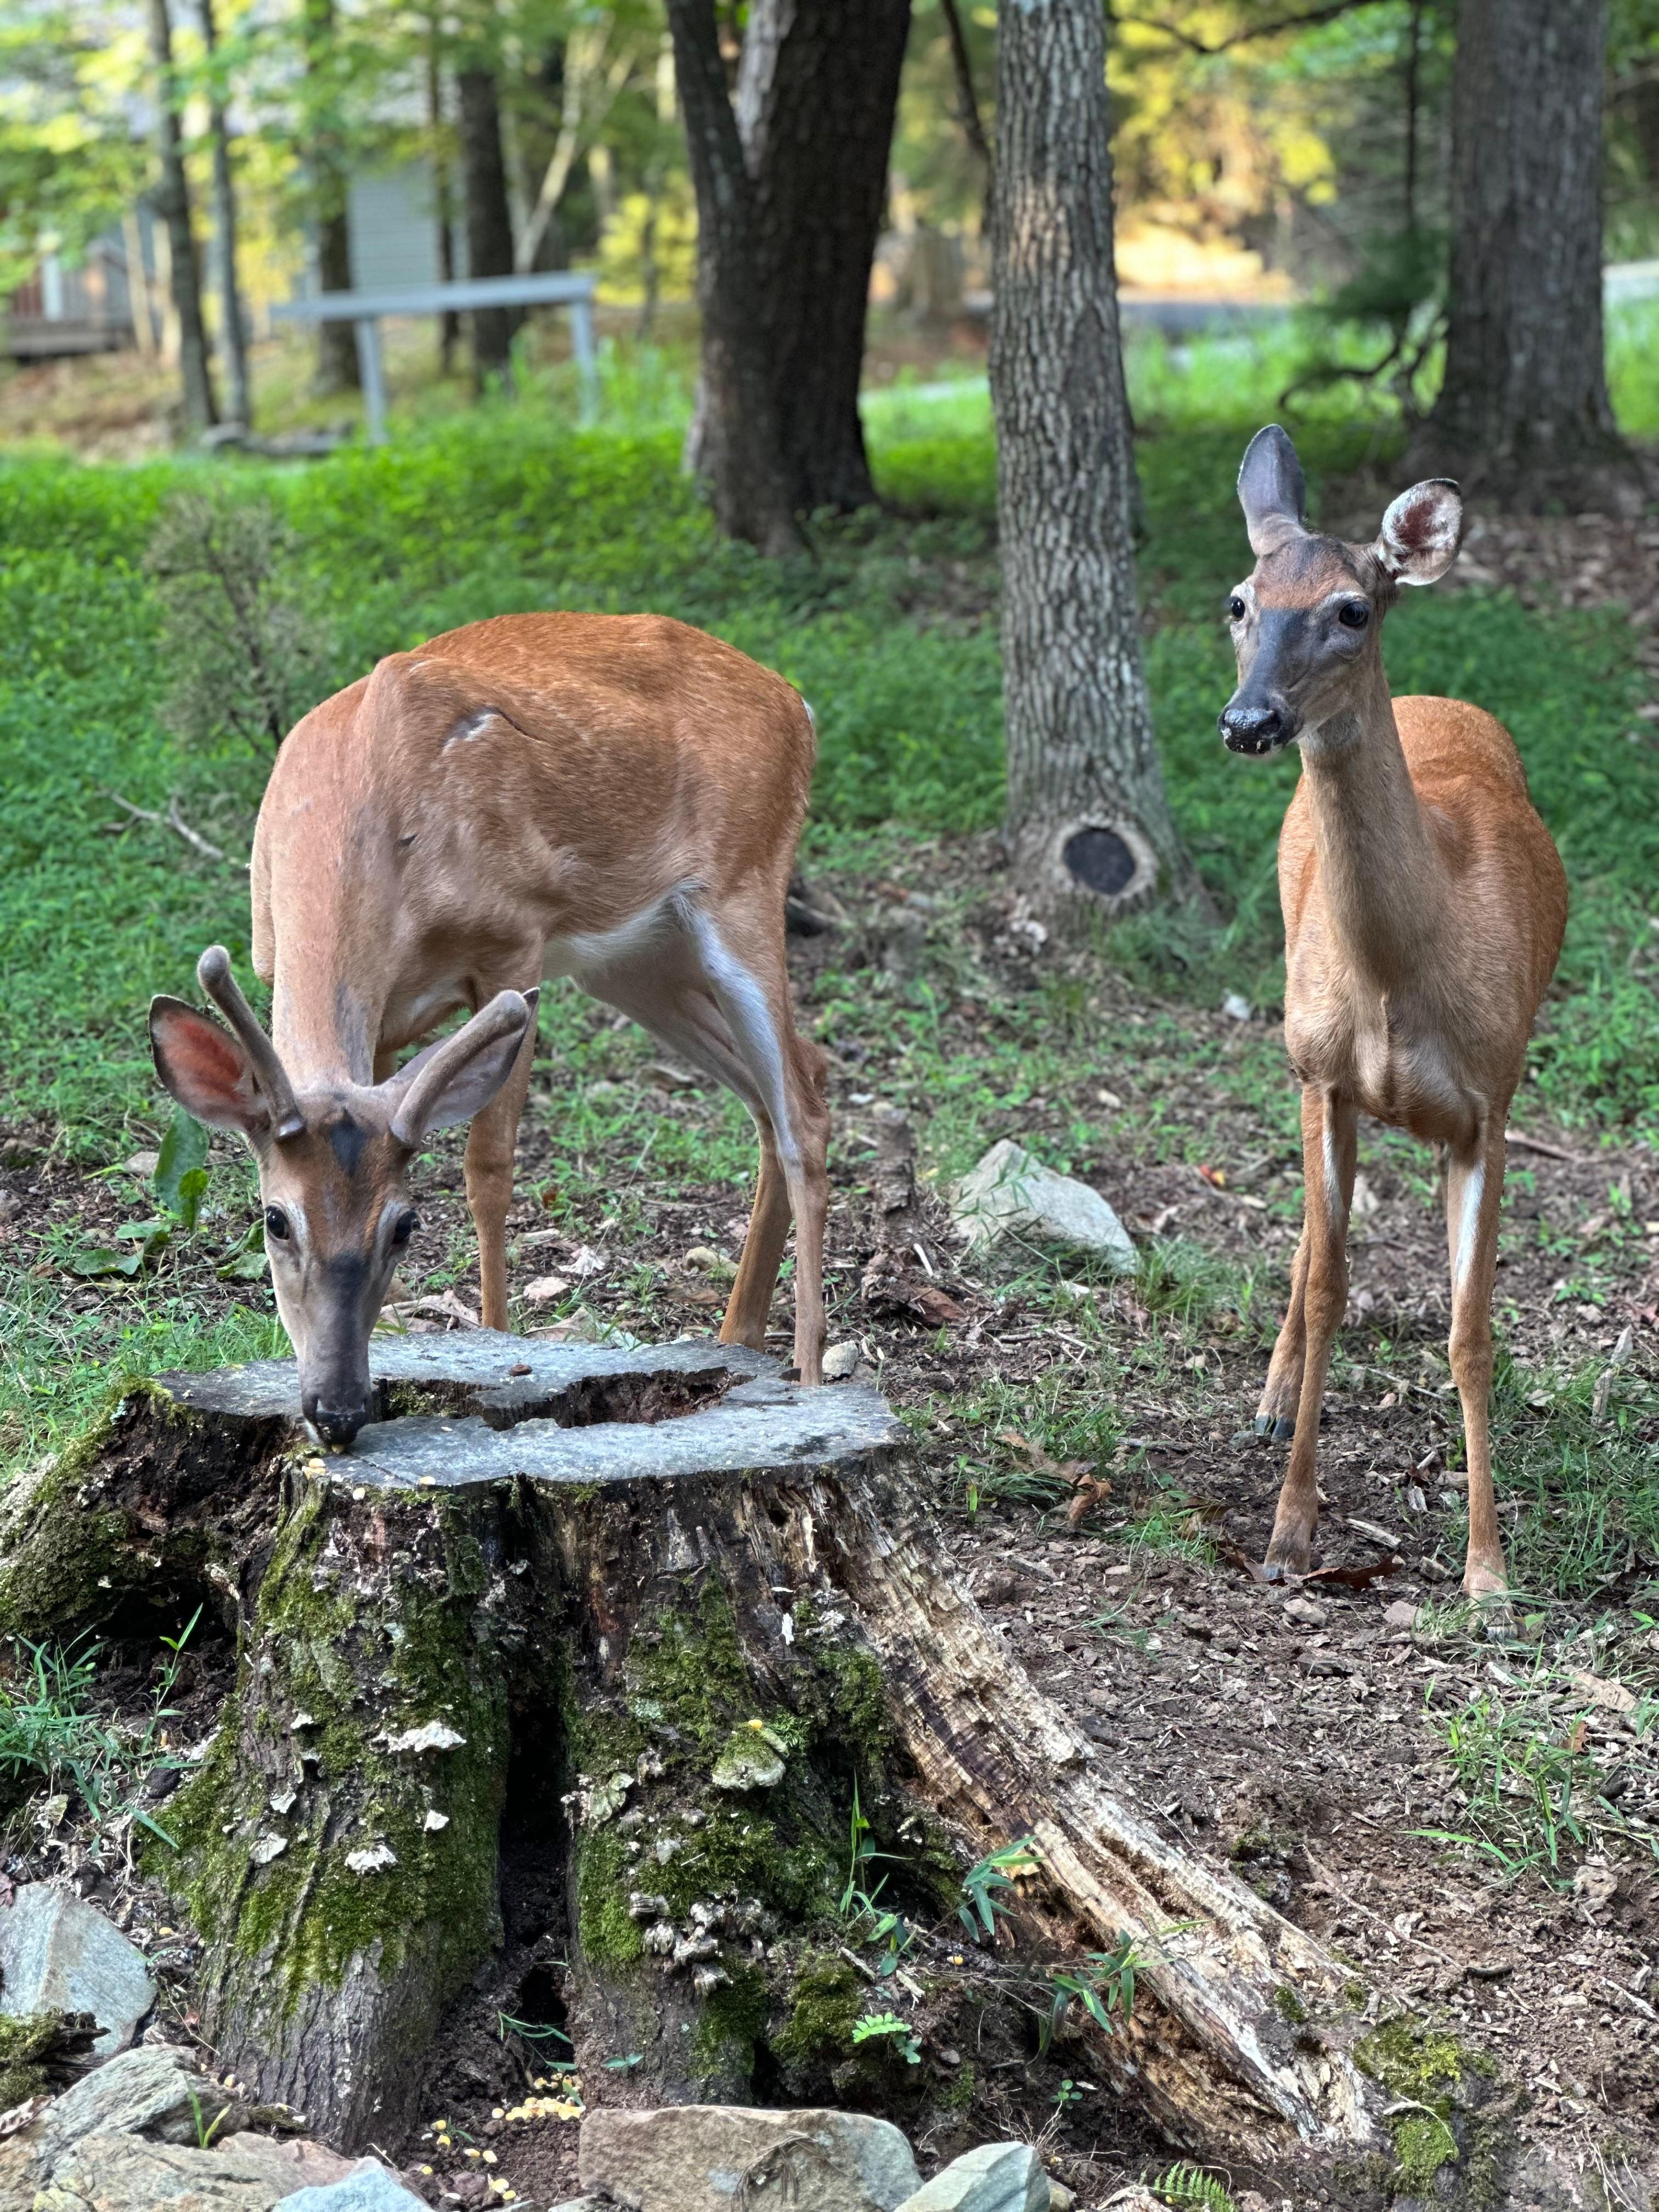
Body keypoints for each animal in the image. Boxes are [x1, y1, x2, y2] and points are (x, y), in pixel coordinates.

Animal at [148, 611, 829, 1450]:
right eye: (274, 1220)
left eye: (406, 1226)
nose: (337, 1411)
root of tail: (794, 703)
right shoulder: (327, 1000)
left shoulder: (516, 939)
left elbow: (489, 1171)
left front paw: (500, 1345)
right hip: (638, 961)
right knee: (792, 1080)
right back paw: (736, 1339)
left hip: (743, 888)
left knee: (800, 1109)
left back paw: (807, 1373)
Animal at [1218, 426, 1567, 1603]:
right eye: (1237, 600)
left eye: (1349, 609)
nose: (1248, 719)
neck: (1396, 980)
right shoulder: (1324, 1073)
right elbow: (1332, 1284)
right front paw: (1288, 1531)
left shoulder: (1490, 1103)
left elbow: (1467, 1332)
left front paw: (1487, 1569)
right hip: (1296, 1049)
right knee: (1306, 1234)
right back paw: (1269, 1394)